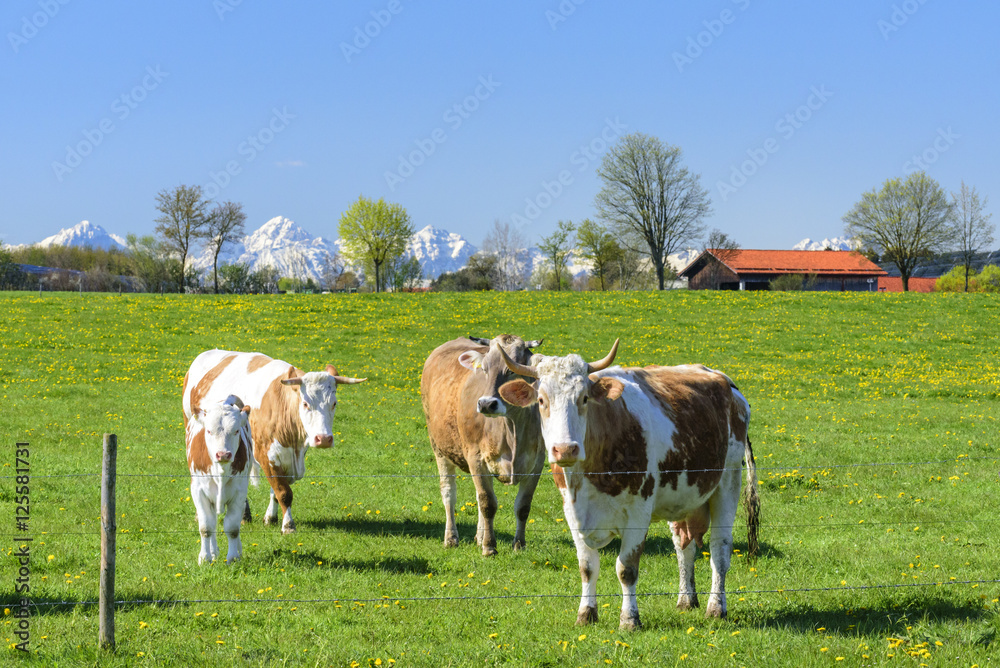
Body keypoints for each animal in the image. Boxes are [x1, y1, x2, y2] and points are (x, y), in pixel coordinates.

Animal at [181, 350, 368, 532]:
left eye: (334, 404)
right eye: (305, 403)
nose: (323, 439)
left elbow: (276, 492)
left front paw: (271, 518)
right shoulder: (266, 455)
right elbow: (283, 492)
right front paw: (288, 525)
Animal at [186, 394, 254, 568]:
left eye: (236, 431)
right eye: (209, 431)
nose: (223, 454)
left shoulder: (239, 492)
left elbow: (233, 527)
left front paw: (233, 557)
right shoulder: (198, 491)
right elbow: (206, 527)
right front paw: (205, 558)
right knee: (212, 521)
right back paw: (213, 551)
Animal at [422, 334, 548, 560]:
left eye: (512, 369)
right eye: (485, 369)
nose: (486, 404)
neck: (512, 430)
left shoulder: (537, 463)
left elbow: (523, 506)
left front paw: (519, 544)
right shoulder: (476, 458)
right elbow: (488, 503)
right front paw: (489, 547)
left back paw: (479, 537)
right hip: (439, 447)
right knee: (449, 493)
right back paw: (451, 538)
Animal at [496, 342, 760, 628]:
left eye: (584, 398)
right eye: (542, 400)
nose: (565, 449)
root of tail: (721, 378)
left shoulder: (638, 512)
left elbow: (626, 569)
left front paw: (630, 619)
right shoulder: (572, 512)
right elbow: (587, 567)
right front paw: (586, 614)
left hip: (728, 481)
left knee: (719, 549)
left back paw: (716, 608)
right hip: (683, 496)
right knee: (684, 546)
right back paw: (686, 600)